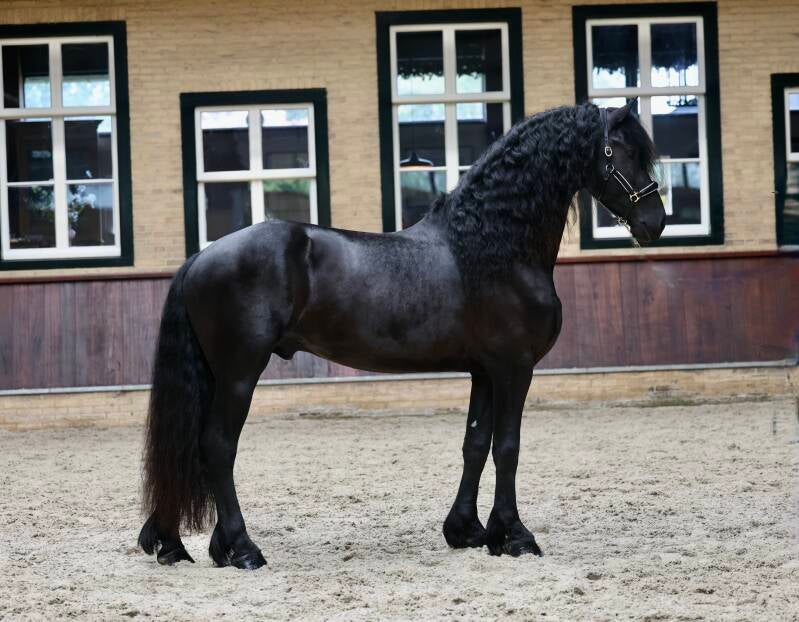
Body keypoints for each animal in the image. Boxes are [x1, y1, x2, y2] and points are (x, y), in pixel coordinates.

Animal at [138, 100, 665, 569]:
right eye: (619, 151)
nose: (654, 222)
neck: (492, 245)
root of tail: (201, 257)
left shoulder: (484, 371)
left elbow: (476, 444)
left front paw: (468, 531)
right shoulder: (514, 369)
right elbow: (508, 447)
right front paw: (515, 536)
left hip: (216, 376)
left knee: (189, 448)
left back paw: (182, 545)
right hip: (238, 375)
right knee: (217, 447)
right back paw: (243, 549)